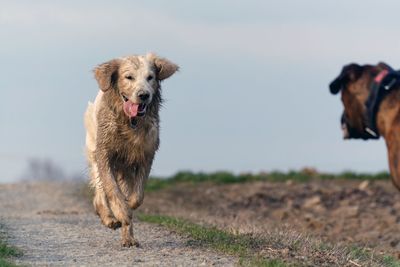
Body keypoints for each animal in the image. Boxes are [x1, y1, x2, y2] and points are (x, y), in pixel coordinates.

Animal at [84, 53, 178, 248]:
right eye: (129, 77)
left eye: (150, 77)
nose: (143, 95)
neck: (130, 121)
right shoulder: (104, 154)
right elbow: (112, 190)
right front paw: (120, 212)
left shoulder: (146, 155)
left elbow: (137, 195)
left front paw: (129, 207)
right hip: (94, 153)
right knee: (100, 193)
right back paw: (109, 218)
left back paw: (129, 239)